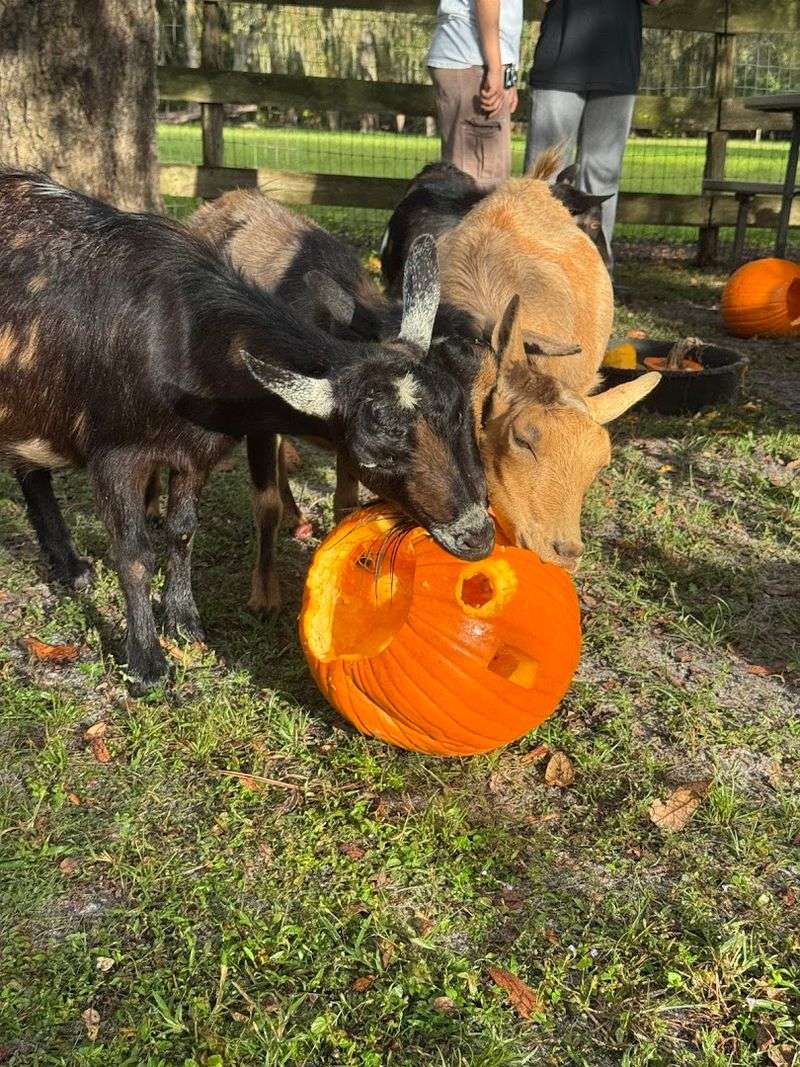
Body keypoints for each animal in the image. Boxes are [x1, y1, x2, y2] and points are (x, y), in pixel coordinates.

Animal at [0, 169, 492, 685]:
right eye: (373, 448)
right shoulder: (114, 455)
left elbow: (182, 531)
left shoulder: (195, 451)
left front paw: (184, 622)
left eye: (461, 411)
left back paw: (68, 566)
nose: (478, 536)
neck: (182, 337)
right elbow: (134, 554)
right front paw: (147, 661)